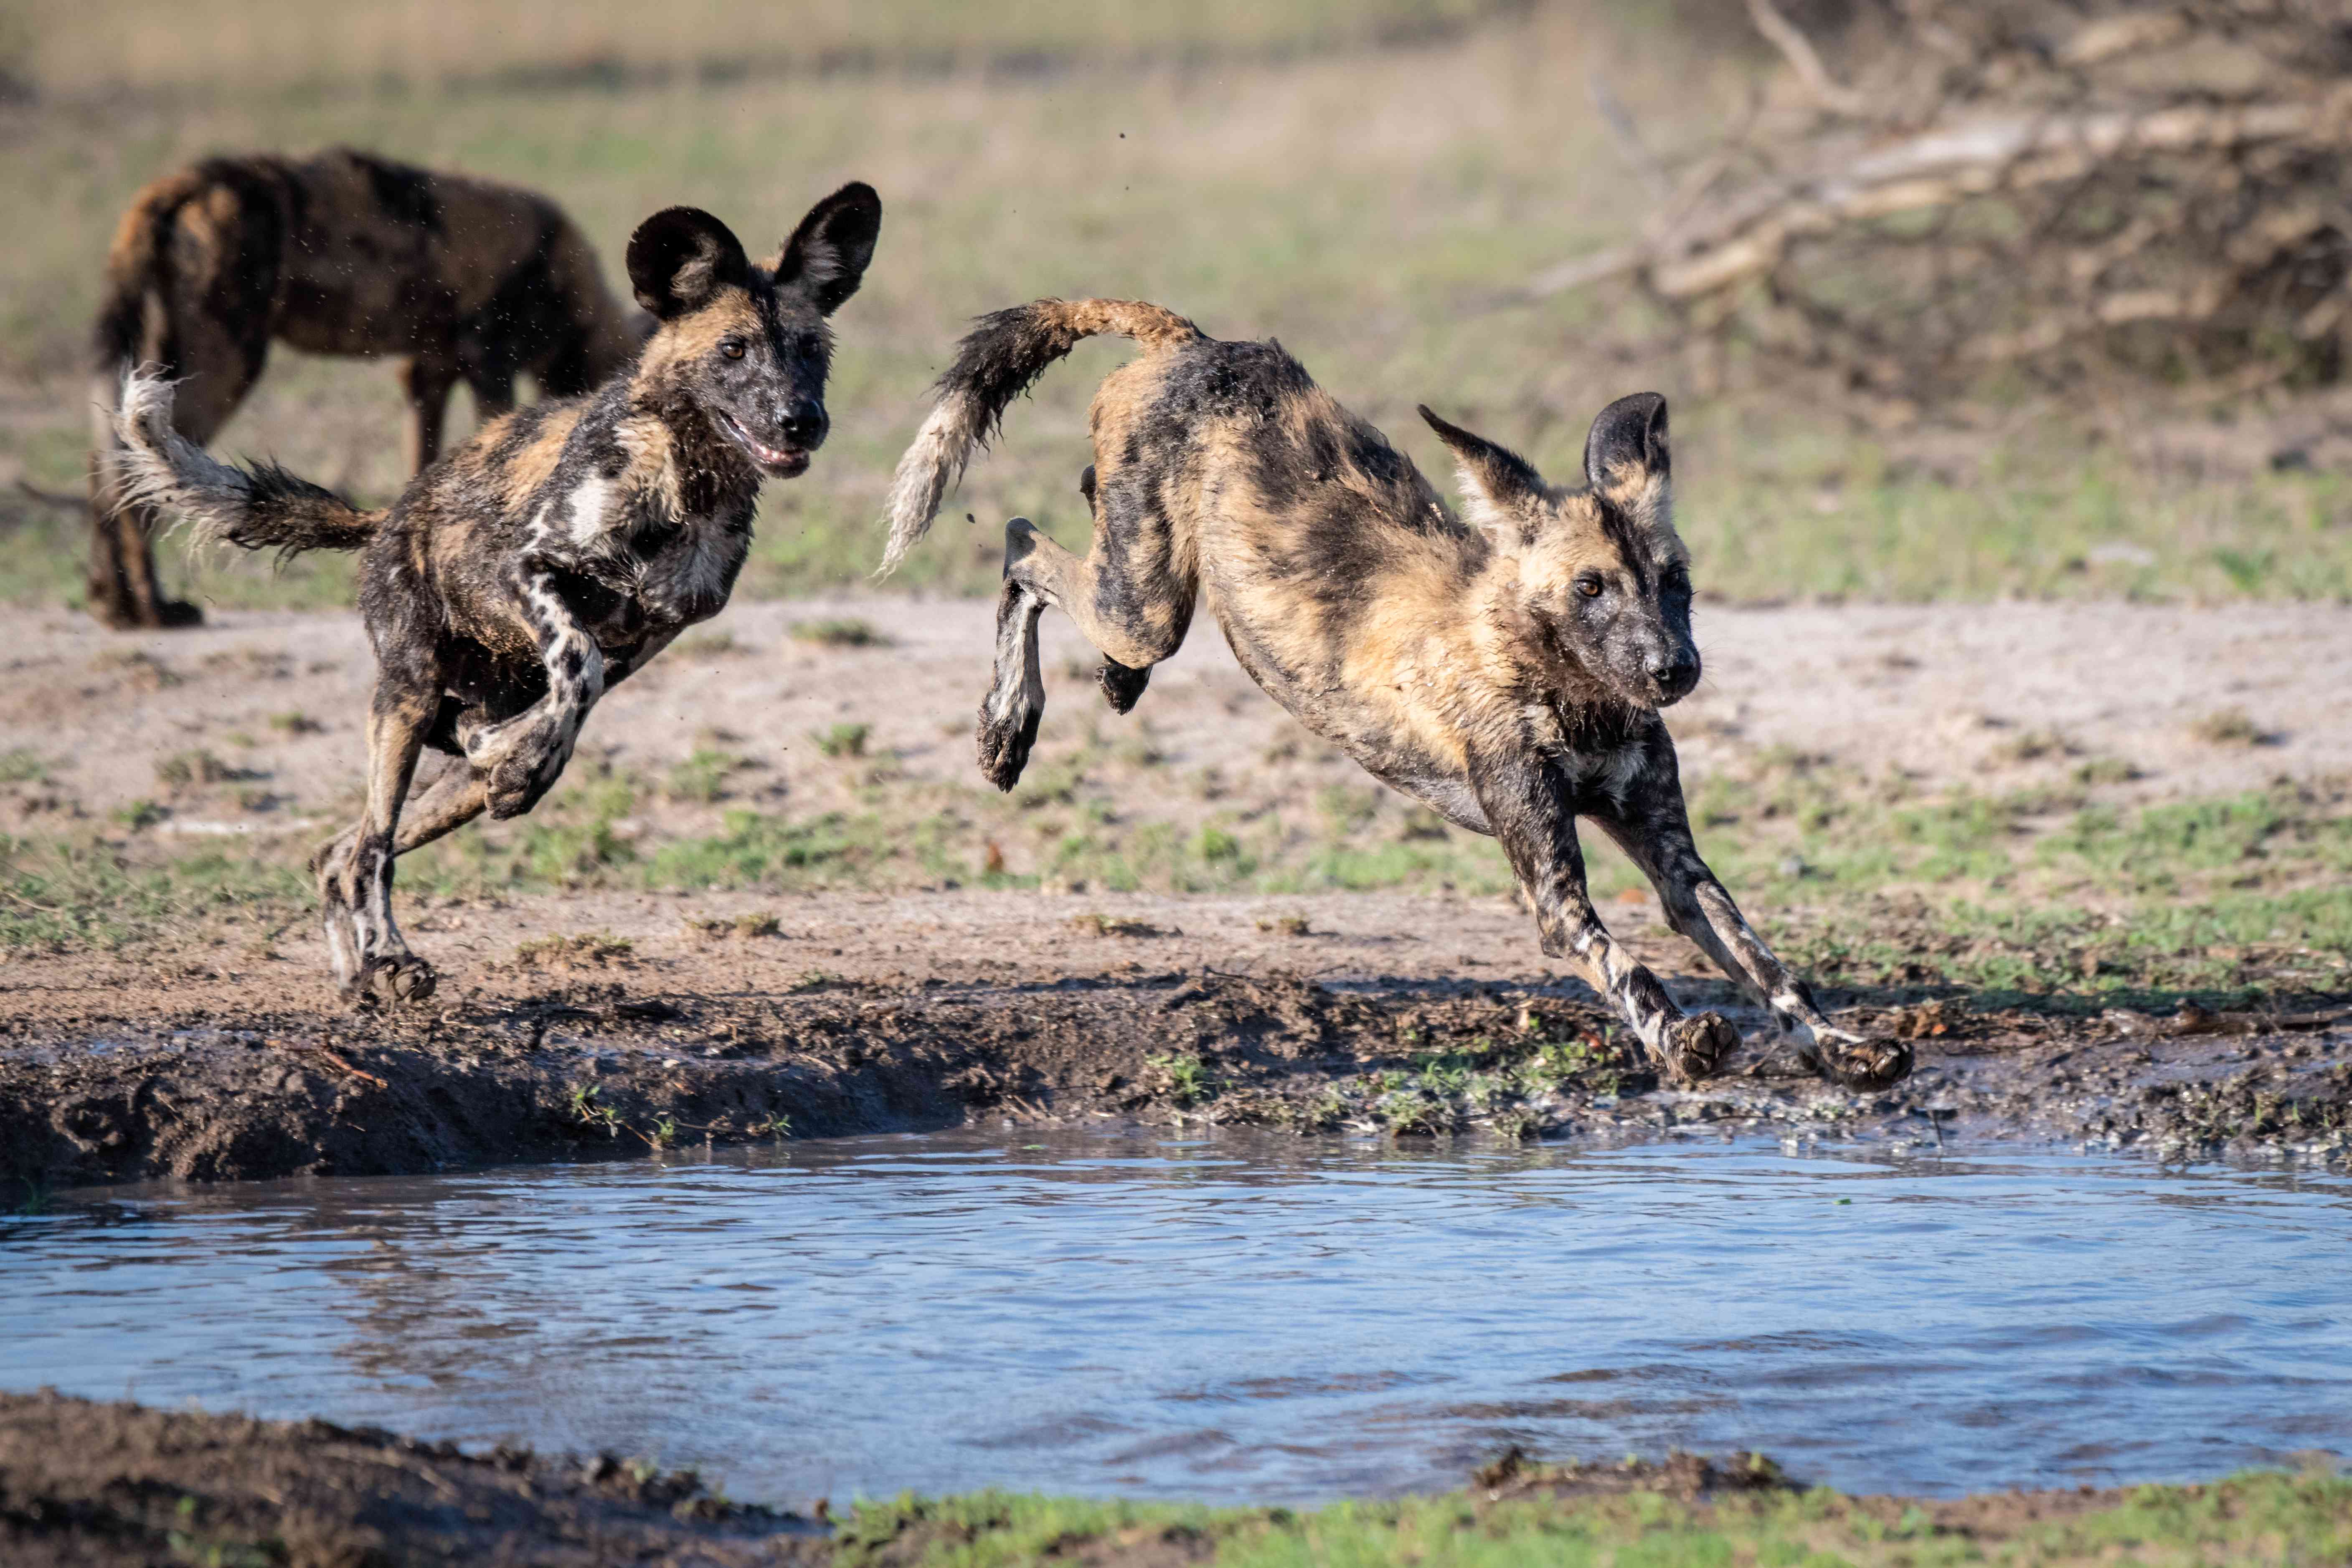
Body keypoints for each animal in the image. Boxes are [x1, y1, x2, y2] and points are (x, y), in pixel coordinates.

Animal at [87, 150, 649, 630]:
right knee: (143, 473)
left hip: (159, 361)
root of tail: (191, 179)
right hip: (226, 359)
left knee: (110, 464)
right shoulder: (490, 366)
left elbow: (424, 466)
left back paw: (116, 607)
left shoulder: (428, 374)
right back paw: (152, 610)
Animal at [884, 303, 1910, 1091]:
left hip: (1143, 595)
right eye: (1590, 588)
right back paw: (1006, 727)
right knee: (1022, 546)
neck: (1567, 690)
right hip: (1144, 604)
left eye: (1674, 580)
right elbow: (1625, 966)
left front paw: (1846, 1050)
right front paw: (1680, 1039)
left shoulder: (1676, 862)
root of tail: (1196, 343)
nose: (1674, 669)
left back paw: (1110, 681)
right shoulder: (1552, 888)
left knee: (1064, 547)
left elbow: (1767, 964)